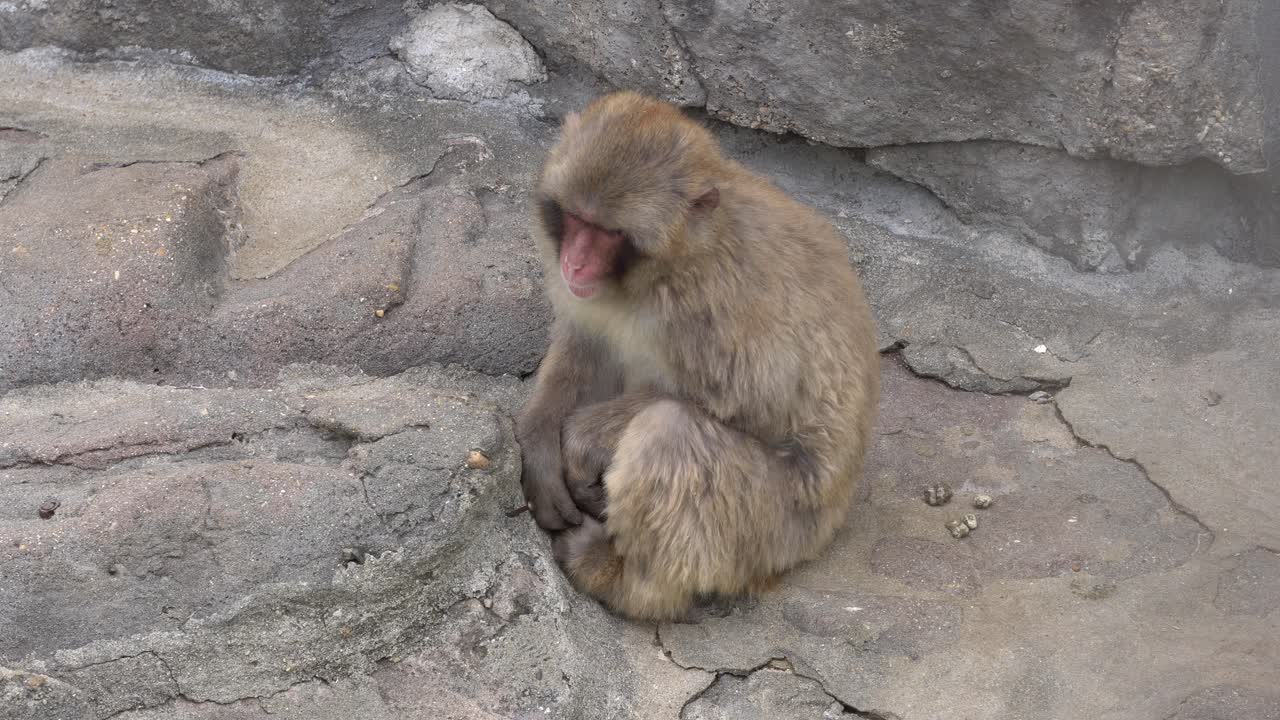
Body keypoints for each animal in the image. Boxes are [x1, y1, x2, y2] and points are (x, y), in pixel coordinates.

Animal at [514, 91, 880, 621]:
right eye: (578, 221)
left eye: (609, 233)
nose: (574, 263)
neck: (672, 262)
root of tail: (837, 511)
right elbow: (586, 343)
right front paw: (541, 441)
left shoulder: (713, 303)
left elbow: (750, 399)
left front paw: (579, 441)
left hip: (780, 527)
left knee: (672, 434)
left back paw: (624, 581)